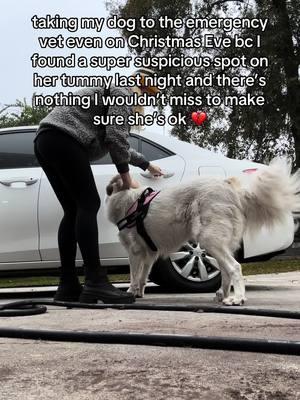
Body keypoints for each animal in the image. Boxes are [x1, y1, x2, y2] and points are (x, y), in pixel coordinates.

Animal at [105, 158, 300, 304]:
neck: (129, 201)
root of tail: (231, 189)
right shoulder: (149, 253)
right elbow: (143, 275)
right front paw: (139, 292)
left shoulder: (135, 251)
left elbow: (134, 275)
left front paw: (130, 292)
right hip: (218, 242)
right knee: (225, 270)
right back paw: (223, 295)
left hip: (209, 239)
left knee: (234, 267)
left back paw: (237, 298)